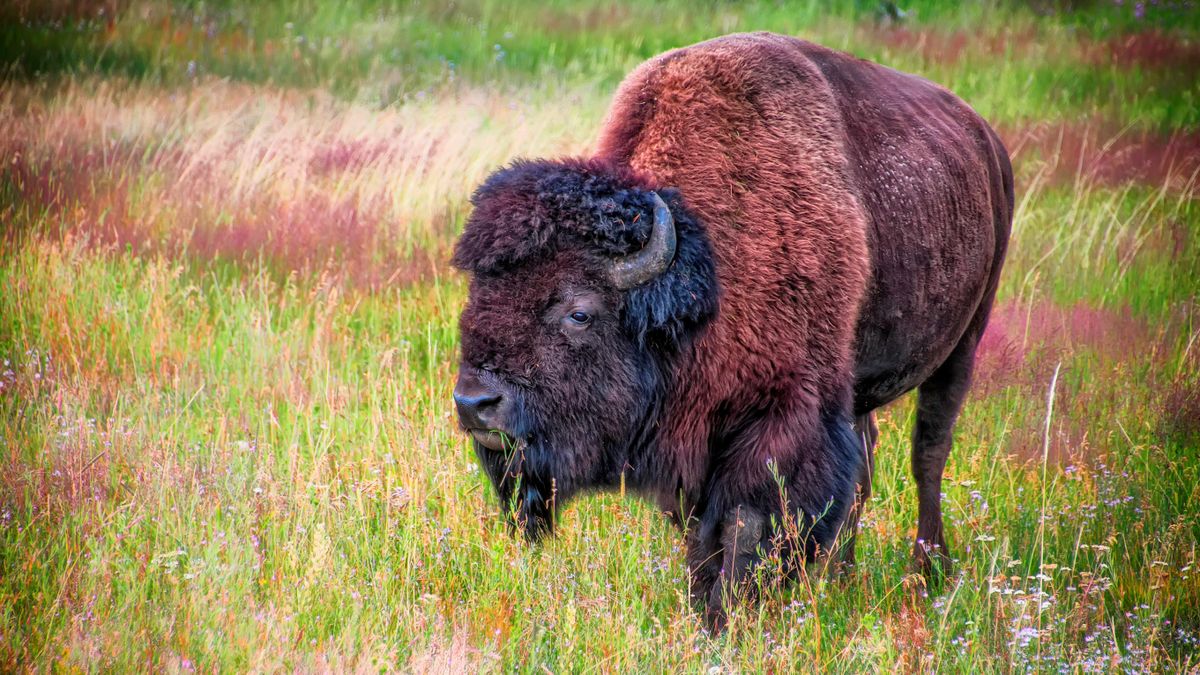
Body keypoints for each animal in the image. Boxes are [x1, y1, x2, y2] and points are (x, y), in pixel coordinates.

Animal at [451, 30, 1012, 619]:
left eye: (579, 312)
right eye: (476, 296)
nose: (474, 403)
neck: (706, 268)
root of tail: (987, 142)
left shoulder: (780, 418)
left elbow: (745, 524)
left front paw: (726, 617)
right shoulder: (697, 434)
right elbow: (701, 533)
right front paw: (702, 605)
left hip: (963, 342)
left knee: (928, 453)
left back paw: (929, 572)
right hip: (858, 383)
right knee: (865, 462)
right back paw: (841, 578)